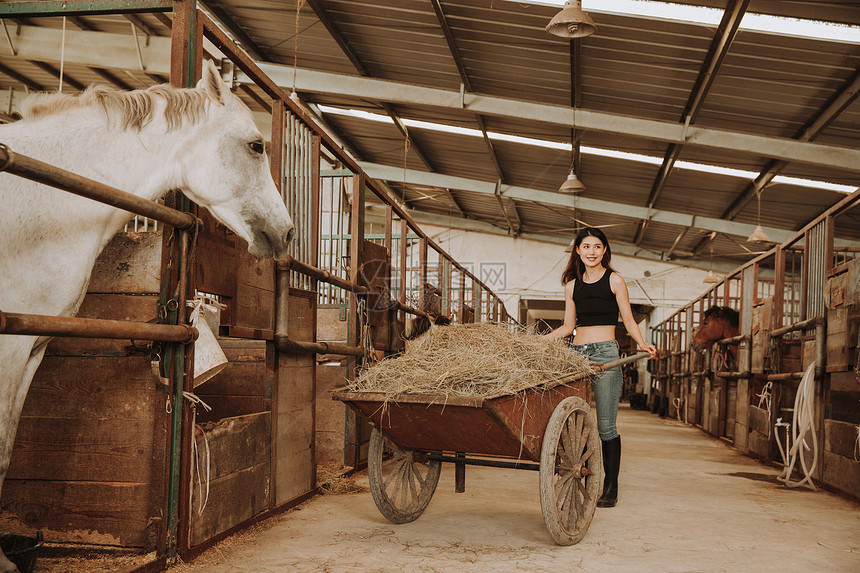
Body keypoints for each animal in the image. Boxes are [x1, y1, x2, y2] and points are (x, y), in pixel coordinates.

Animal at [0, 59, 292, 572]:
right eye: (257, 145)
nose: (288, 231)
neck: (43, 199)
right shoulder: (9, 342)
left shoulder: (33, 344)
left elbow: (9, 444)